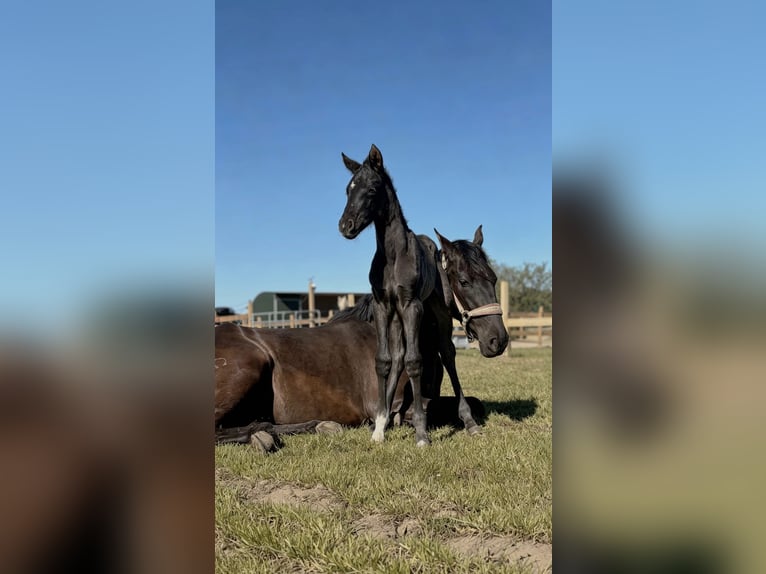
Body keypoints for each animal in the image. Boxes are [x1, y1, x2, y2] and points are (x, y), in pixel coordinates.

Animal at [338, 144, 508, 446]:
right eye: (348, 189)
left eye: (372, 189)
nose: (346, 226)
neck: (393, 256)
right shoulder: (383, 306)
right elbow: (383, 361)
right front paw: (379, 425)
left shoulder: (412, 306)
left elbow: (415, 362)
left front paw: (421, 432)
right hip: (398, 318)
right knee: (399, 355)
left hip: (436, 315)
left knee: (447, 353)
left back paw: (468, 421)